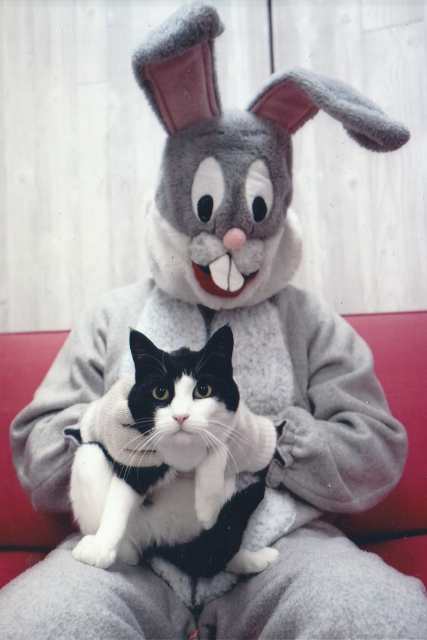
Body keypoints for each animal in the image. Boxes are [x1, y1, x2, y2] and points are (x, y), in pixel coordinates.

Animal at [71, 328, 278, 576]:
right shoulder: (136, 456)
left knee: (210, 551)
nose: (181, 416)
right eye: (160, 392)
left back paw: (254, 558)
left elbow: (219, 444)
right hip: (89, 457)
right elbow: (118, 502)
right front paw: (101, 547)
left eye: (203, 390)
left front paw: (208, 507)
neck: (182, 451)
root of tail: (158, 539)